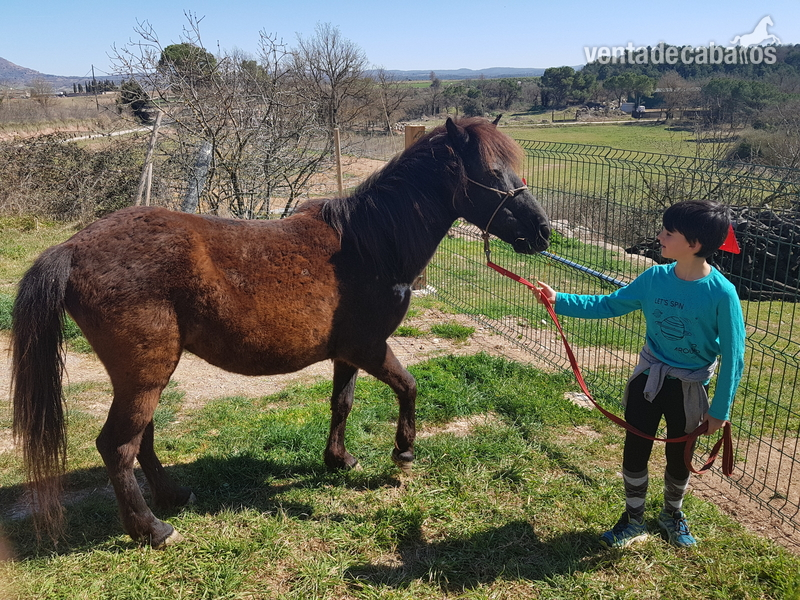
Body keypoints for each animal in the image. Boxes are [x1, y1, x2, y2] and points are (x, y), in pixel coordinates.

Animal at [11, 116, 551, 548]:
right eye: (490, 174)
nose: (543, 231)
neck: (369, 243)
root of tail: (71, 248)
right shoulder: (370, 347)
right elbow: (409, 386)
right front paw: (403, 451)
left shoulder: (346, 353)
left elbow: (342, 403)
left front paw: (339, 459)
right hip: (145, 373)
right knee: (118, 447)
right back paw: (152, 529)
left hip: (145, 376)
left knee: (139, 439)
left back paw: (172, 496)